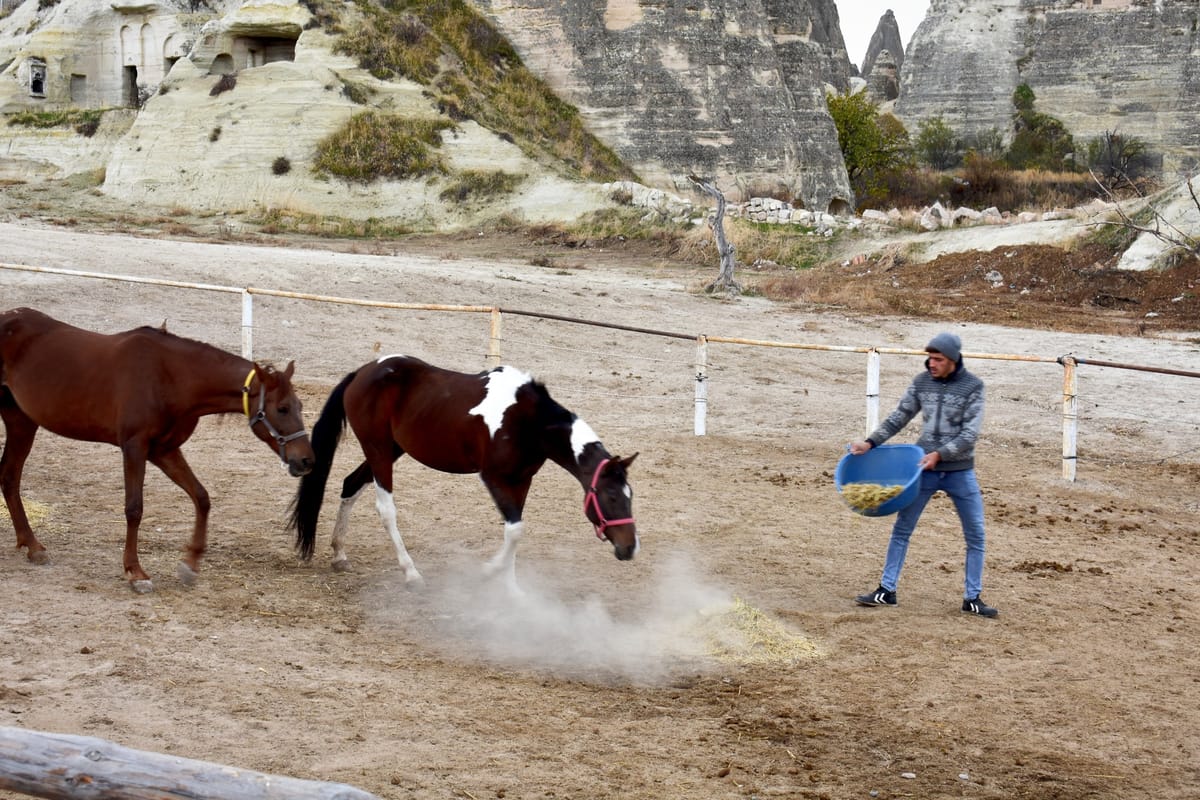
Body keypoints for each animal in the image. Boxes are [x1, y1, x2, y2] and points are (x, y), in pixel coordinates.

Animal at [0, 309, 314, 592]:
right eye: (282, 408)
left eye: (299, 406)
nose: (306, 460)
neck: (170, 377)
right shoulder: (134, 447)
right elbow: (134, 508)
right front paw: (136, 572)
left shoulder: (164, 451)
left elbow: (201, 497)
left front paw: (190, 564)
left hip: (21, 422)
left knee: (9, 477)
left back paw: (33, 546)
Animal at [286, 357, 638, 594]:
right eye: (610, 496)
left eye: (630, 496)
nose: (630, 548)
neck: (527, 420)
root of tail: (361, 373)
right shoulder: (494, 477)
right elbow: (515, 531)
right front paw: (488, 572)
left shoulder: (521, 481)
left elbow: (514, 531)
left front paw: (512, 591)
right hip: (379, 451)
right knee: (385, 509)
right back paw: (411, 574)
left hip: (390, 450)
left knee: (350, 485)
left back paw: (339, 554)